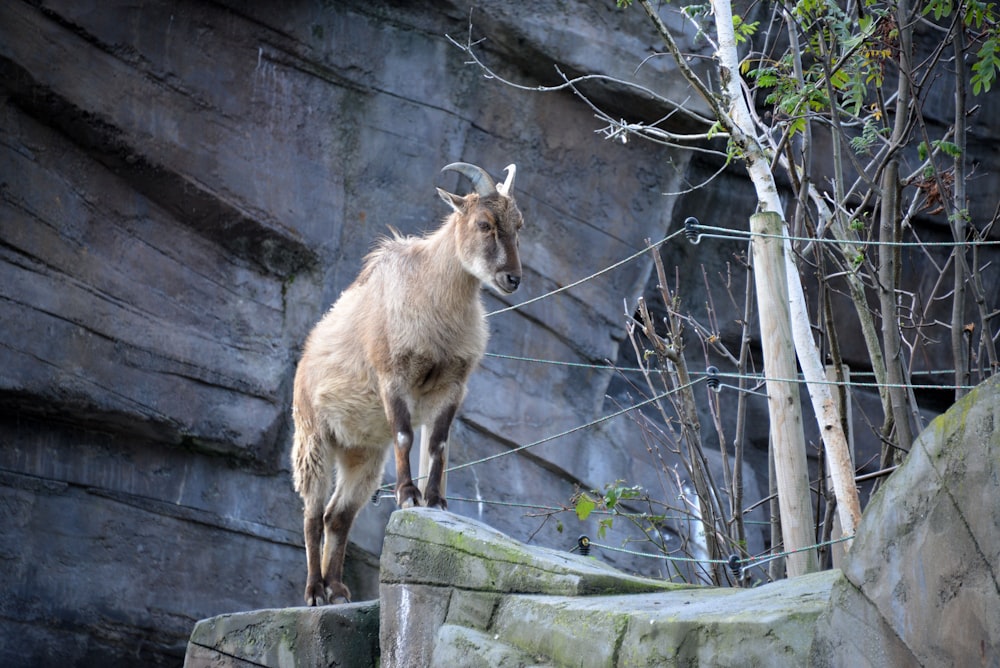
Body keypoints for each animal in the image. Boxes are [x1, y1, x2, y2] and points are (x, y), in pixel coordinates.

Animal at [290, 160, 524, 604]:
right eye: (485, 223)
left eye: (519, 224)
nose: (512, 278)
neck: (432, 292)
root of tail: (305, 358)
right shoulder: (392, 376)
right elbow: (404, 435)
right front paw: (408, 496)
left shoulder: (451, 386)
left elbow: (437, 444)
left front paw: (436, 500)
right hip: (313, 439)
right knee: (312, 514)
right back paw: (313, 592)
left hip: (362, 455)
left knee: (337, 515)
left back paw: (338, 589)